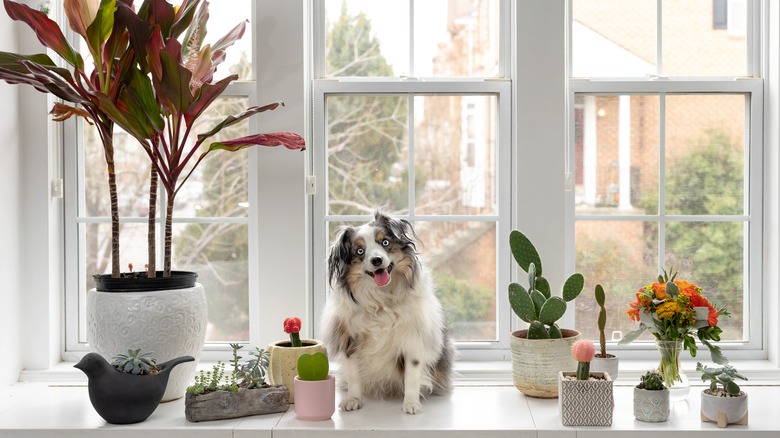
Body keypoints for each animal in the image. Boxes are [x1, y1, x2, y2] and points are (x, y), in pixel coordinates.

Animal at [322, 211, 454, 414]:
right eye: (359, 251)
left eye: (384, 242)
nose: (376, 260)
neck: (381, 298)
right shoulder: (349, 339)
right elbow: (354, 375)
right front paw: (353, 399)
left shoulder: (413, 339)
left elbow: (412, 375)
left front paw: (411, 403)